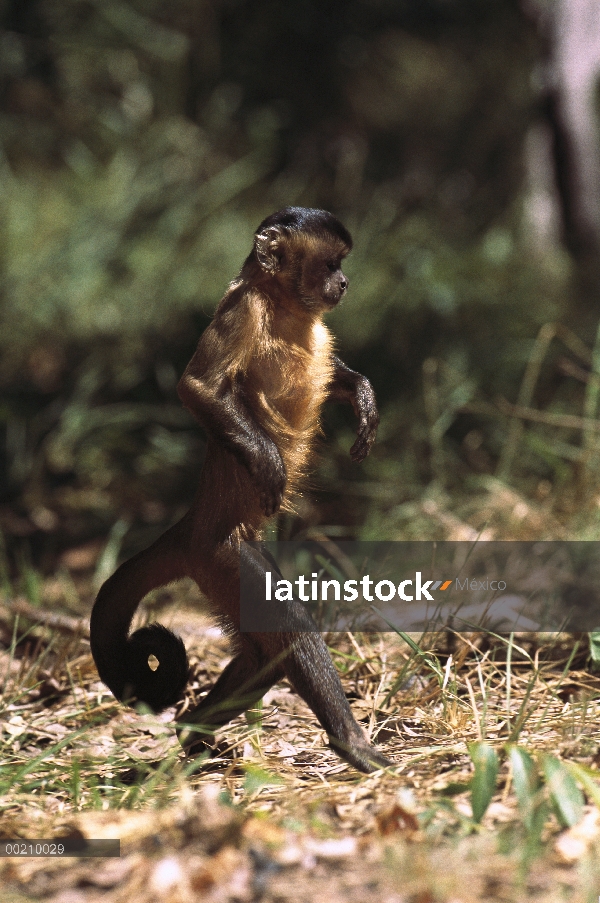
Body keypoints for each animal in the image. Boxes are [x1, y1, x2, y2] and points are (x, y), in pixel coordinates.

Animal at [86, 208, 392, 772]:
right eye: (332, 264)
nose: (344, 283)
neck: (281, 302)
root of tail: (192, 522)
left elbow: (335, 377)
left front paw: (364, 398)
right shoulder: (241, 308)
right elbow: (197, 388)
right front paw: (266, 461)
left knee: (265, 657)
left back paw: (190, 736)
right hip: (221, 556)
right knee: (289, 630)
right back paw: (350, 744)